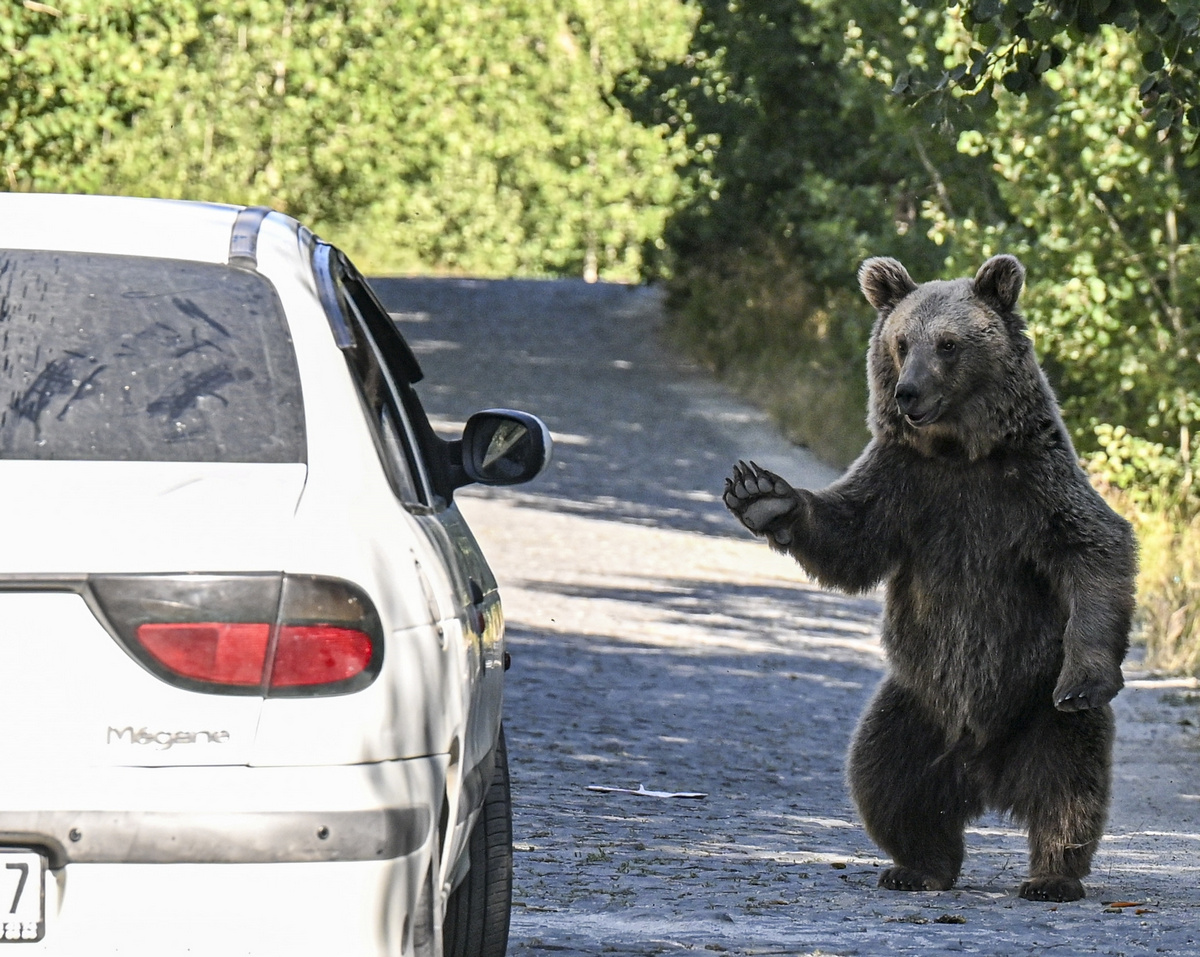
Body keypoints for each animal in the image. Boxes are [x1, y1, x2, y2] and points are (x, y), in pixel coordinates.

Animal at [724, 256, 1137, 906]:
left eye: (948, 343)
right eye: (900, 343)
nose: (907, 391)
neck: (959, 452)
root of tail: (986, 772)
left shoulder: (1032, 486)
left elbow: (1094, 548)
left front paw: (1087, 676)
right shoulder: (906, 484)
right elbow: (849, 538)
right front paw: (762, 494)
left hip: (1034, 706)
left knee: (1069, 783)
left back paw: (1052, 876)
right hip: (916, 706)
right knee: (885, 777)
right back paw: (918, 866)